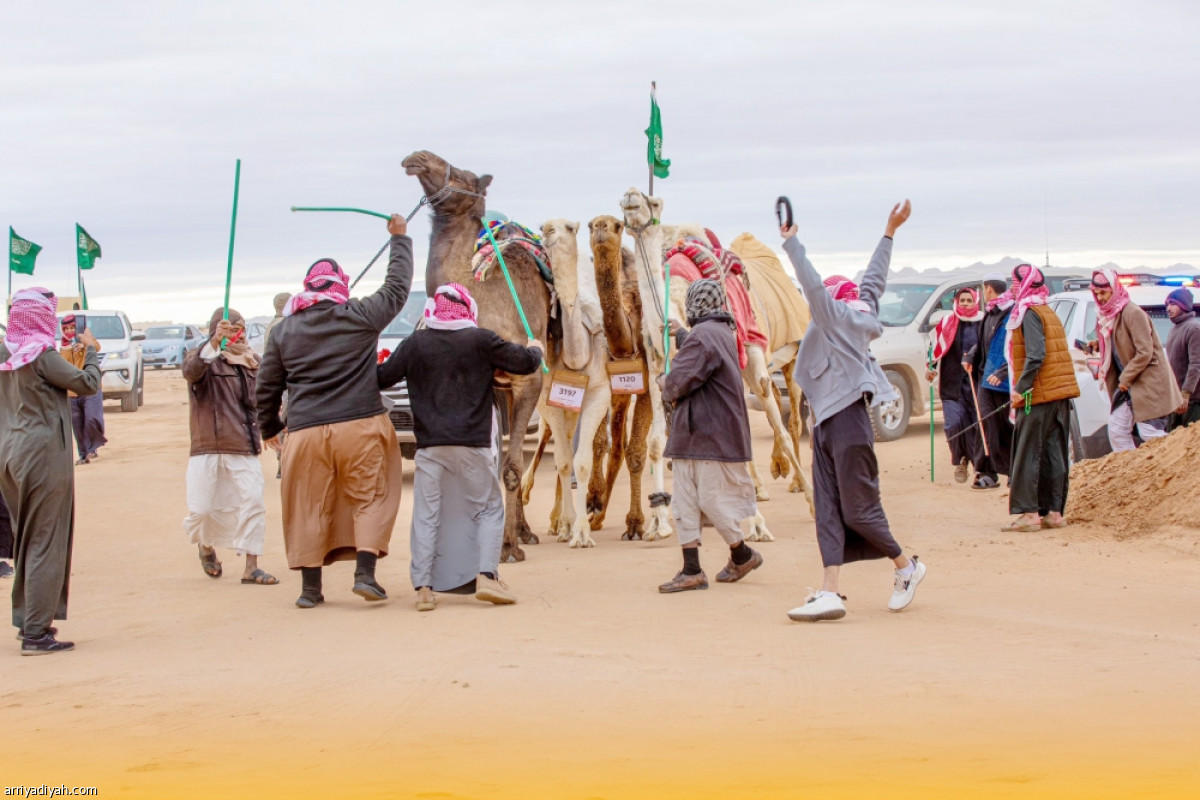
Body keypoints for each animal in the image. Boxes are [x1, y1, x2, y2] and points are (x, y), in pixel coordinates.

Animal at [400, 149, 554, 563]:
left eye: (463, 175)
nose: (417, 157)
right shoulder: (496, 382)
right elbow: (497, 464)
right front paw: (509, 540)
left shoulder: (530, 380)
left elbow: (513, 465)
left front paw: (507, 549)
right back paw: (529, 531)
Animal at [619, 189, 816, 525]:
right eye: (623, 203)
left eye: (653, 202)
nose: (632, 195)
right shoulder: (659, 370)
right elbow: (657, 444)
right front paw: (659, 521)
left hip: (763, 354)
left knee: (780, 416)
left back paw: (805, 496)